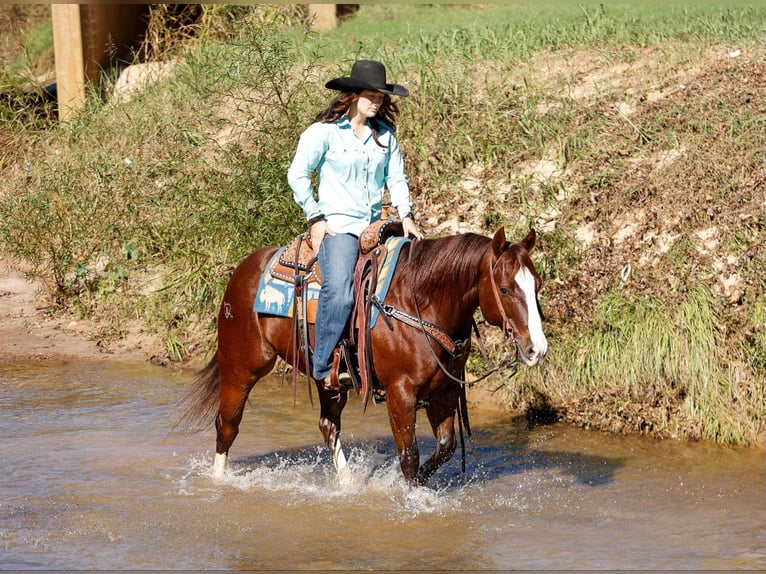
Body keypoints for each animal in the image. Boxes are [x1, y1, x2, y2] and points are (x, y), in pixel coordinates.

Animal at [178, 226, 548, 486]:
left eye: (537, 285)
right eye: (505, 289)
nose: (537, 349)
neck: (420, 301)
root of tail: (243, 269)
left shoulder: (445, 390)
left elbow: (444, 448)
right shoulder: (401, 392)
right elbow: (409, 456)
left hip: (327, 380)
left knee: (328, 426)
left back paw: (348, 483)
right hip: (241, 367)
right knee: (227, 424)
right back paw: (217, 482)